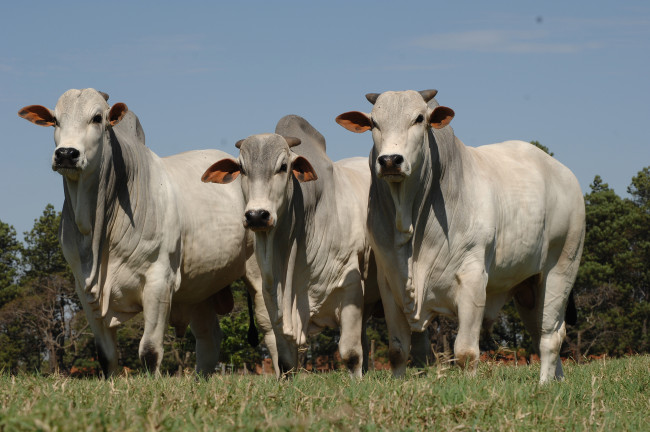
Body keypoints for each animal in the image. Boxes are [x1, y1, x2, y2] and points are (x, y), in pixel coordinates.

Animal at [18, 88, 261, 377]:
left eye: (97, 118)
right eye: (55, 120)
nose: (66, 153)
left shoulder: (159, 280)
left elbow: (149, 351)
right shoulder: (84, 289)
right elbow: (106, 356)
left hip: (259, 272)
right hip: (201, 287)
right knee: (209, 338)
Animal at [201, 115, 380, 378]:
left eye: (283, 167)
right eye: (242, 169)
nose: (257, 215)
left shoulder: (351, 287)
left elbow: (350, 353)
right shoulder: (271, 300)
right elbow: (285, 361)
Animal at [336, 90, 585, 383]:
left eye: (419, 118)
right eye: (374, 122)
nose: (389, 161)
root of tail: (565, 174)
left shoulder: (472, 279)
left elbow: (465, 351)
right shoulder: (390, 283)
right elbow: (397, 350)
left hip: (561, 268)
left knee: (550, 336)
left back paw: (544, 383)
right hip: (528, 287)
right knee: (542, 331)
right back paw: (558, 379)